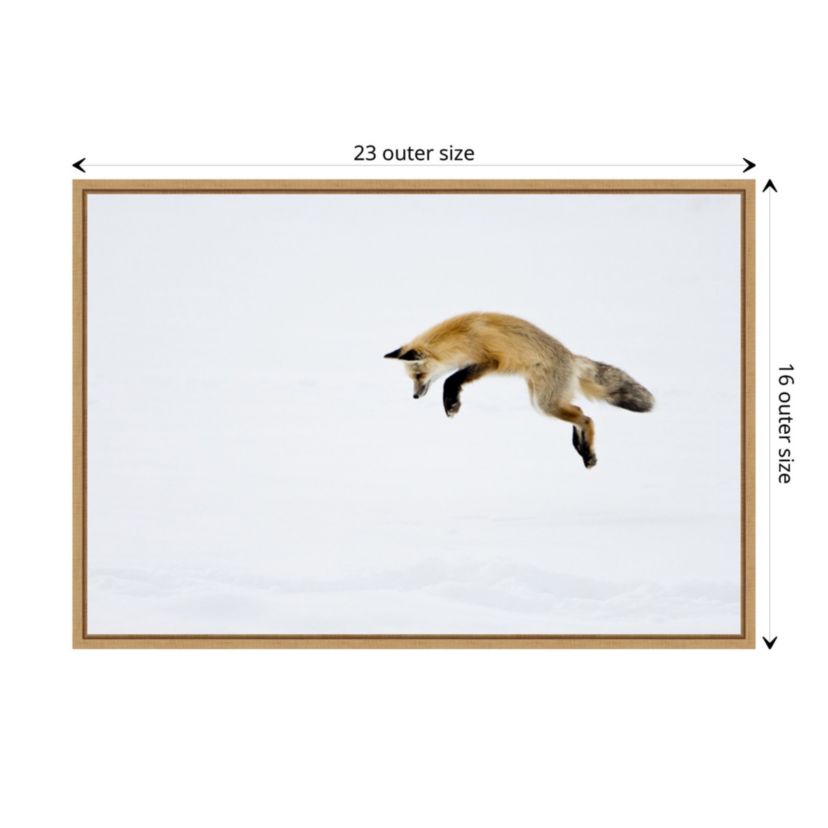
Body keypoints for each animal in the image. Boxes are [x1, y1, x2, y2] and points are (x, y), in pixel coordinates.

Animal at [384, 312, 654, 468]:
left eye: (418, 376)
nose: (415, 396)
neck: (463, 336)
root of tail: (572, 358)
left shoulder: (489, 361)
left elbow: (451, 380)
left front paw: (451, 404)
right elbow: (452, 379)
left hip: (545, 403)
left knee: (586, 418)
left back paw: (586, 453)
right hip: (543, 401)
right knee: (579, 411)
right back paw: (582, 448)